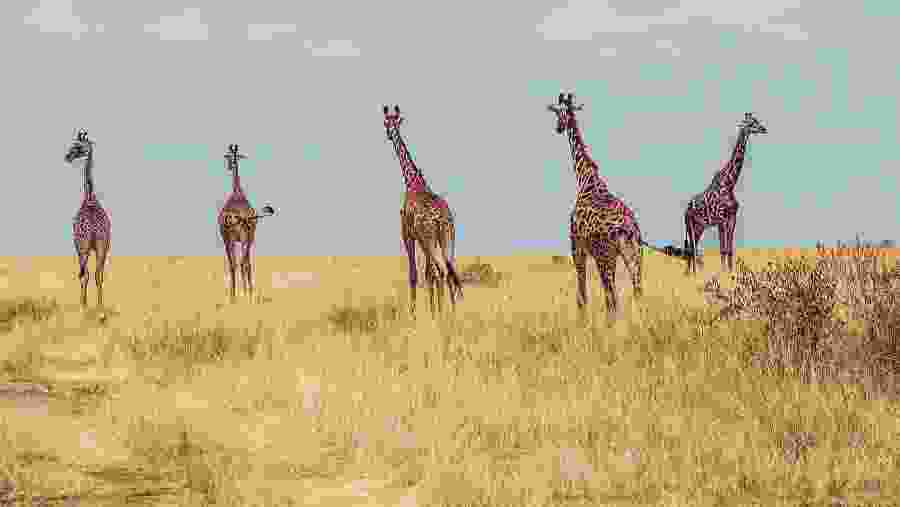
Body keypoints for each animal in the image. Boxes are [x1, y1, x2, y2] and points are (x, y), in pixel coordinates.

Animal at [65, 129, 111, 307]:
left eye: (78, 146)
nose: (67, 156)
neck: (90, 198)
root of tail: (92, 229)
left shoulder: (78, 245)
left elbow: (83, 274)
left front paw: (83, 303)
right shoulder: (103, 246)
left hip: (84, 246)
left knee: (86, 274)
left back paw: (85, 304)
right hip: (102, 246)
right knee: (98, 274)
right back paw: (99, 305)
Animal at [217, 144, 276, 302]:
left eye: (230, 157)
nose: (229, 166)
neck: (237, 192)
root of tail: (236, 217)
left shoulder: (242, 238)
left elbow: (244, 263)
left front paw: (246, 292)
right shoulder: (249, 238)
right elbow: (247, 263)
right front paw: (248, 292)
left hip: (231, 239)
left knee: (235, 263)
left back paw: (235, 295)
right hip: (240, 238)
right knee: (240, 263)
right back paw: (241, 294)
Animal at [382, 105, 463, 316]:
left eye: (388, 123)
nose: (388, 133)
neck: (412, 181)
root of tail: (441, 219)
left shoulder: (408, 234)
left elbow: (415, 274)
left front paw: (415, 313)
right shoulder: (423, 241)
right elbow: (429, 274)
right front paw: (432, 311)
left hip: (430, 240)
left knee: (441, 270)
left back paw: (443, 313)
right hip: (446, 239)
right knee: (450, 270)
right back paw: (452, 312)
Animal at [547, 93, 644, 321]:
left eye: (559, 114)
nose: (558, 128)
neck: (585, 178)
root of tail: (627, 228)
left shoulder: (577, 246)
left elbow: (582, 294)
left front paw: (582, 321)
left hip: (605, 257)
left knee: (612, 296)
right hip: (634, 254)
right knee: (636, 291)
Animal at [684, 112, 767, 274]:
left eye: (756, 121)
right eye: (751, 123)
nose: (764, 129)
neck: (730, 184)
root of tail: (685, 210)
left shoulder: (732, 219)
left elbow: (729, 249)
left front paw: (730, 272)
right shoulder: (721, 220)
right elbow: (723, 249)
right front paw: (723, 273)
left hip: (699, 227)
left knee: (692, 248)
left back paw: (690, 273)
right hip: (691, 225)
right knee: (692, 248)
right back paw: (692, 273)